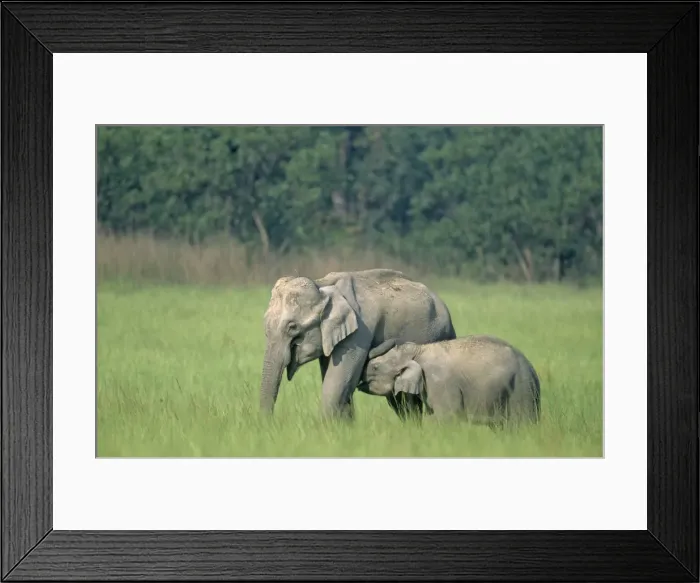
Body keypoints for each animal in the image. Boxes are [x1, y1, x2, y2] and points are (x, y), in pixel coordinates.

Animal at [259, 269, 456, 420]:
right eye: (265, 325)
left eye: (292, 327)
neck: (322, 284)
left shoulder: (360, 332)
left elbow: (336, 385)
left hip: (442, 333)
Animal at [360, 335, 541, 424]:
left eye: (375, 367)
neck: (418, 351)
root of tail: (531, 368)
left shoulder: (440, 382)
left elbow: (448, 415)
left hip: (520, 389)